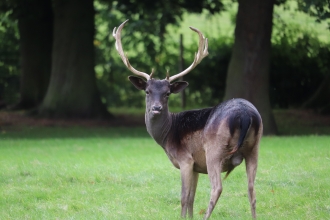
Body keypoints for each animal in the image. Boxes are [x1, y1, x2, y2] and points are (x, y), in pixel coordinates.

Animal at [113, 19, 262, 219]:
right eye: (147, 91)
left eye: (167, 93)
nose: (156, 108)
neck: (168, 136)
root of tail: (245, 115)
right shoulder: (196, 166)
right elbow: (191, 198)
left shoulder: (185, 160)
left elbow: (184, 197)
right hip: (254, 148)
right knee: (252, 190)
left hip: (215, 150)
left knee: (217, 188)